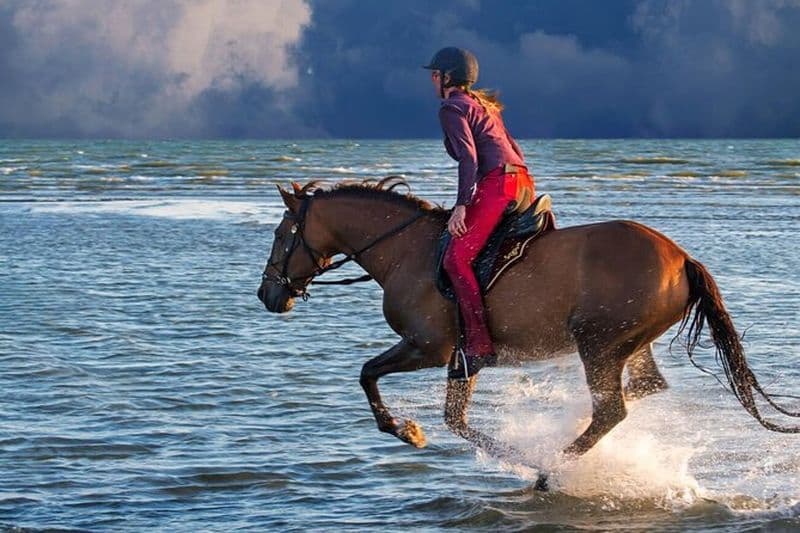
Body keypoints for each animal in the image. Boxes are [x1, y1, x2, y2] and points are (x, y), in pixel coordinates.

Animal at [257, 177, 799, 485]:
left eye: (281, 235)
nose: (267, 294)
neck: (407, 251)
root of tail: (683, 258)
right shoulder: (465, 358)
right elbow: (454, 420)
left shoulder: (430, 349)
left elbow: (368, 374)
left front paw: (407, 431)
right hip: (629, 344)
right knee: (643, 390)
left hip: (597, 344)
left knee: (612, 410)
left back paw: (551, 468)